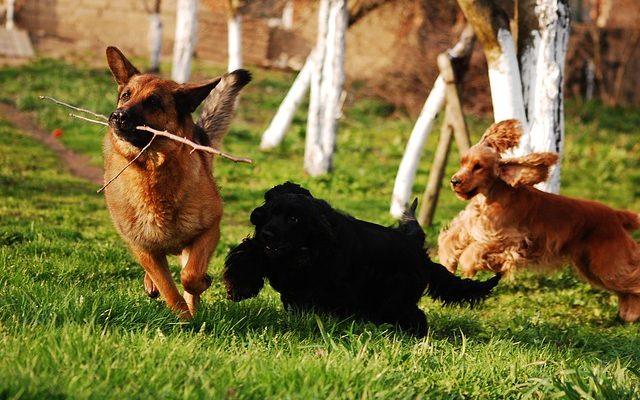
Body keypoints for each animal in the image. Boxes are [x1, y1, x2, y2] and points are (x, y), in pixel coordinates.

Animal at [102, 45, 250, 318]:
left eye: (153, 102)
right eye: (126, 95)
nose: (117, 116)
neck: (152, 172)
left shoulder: (209, 231)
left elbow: (189, 276)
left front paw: (199, 292)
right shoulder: (143, 249)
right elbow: (169, 289)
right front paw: (183, 320)